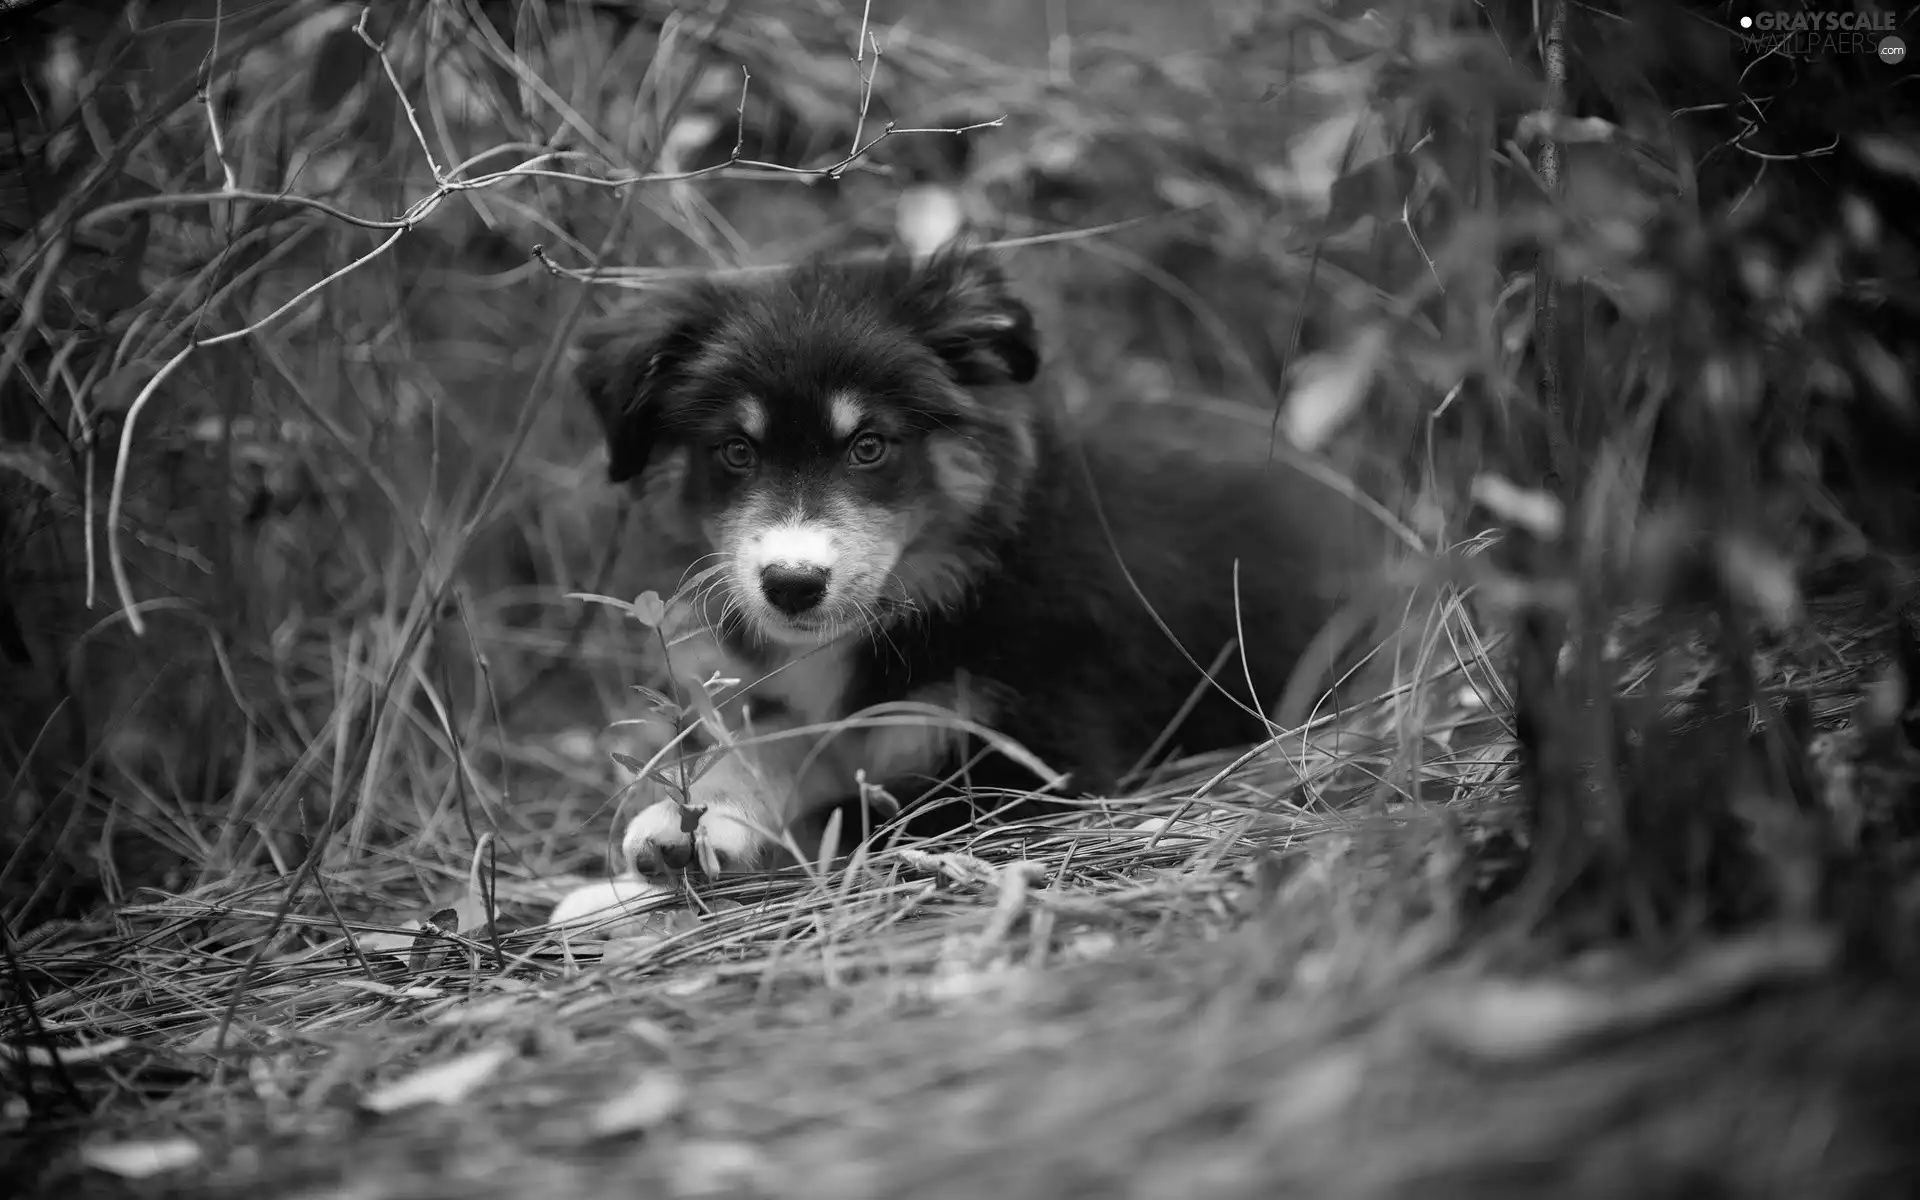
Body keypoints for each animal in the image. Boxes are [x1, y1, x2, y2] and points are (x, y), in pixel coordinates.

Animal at [568, 245, 1382, 871]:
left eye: (870, 446)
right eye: (736, 451)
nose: (792, 586)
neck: (952, 582)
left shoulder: (1038, 766)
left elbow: (853, 818)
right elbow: (768, 747)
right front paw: (687, 818)